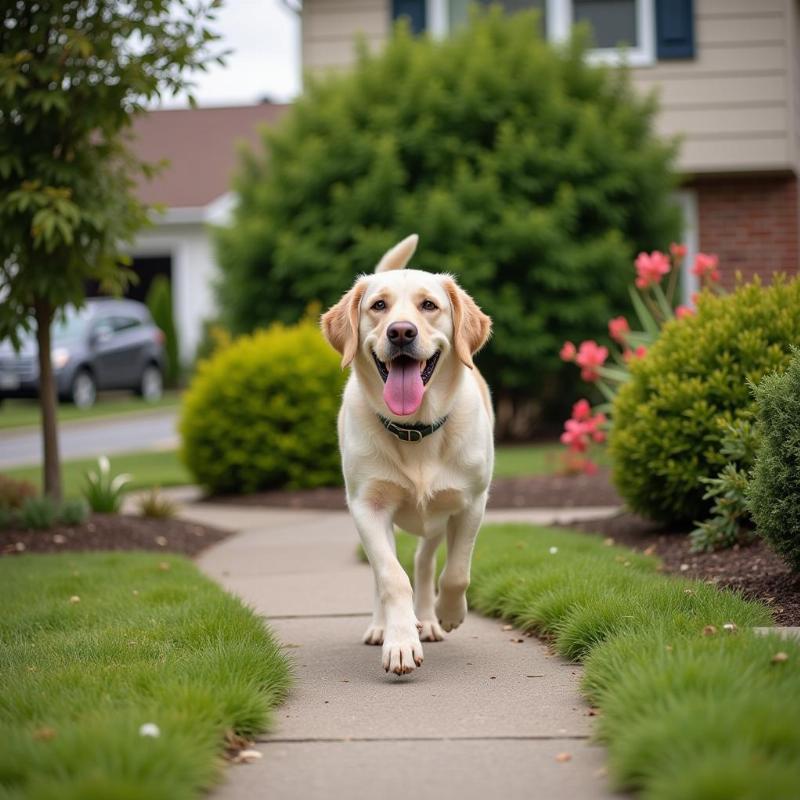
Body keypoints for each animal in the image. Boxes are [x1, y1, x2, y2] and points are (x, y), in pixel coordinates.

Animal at [322, 233, 490, 676]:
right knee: (388, 572)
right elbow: (391, 577)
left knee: (425, 559)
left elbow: (457, 571)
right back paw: (383, 626)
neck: (415, 429)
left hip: (437, 517)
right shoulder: (367, 506)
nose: (400, 332)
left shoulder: (472, 502)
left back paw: (429, 618)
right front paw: (399, 642)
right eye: (378, 306)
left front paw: (449, 612)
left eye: (428, 305)